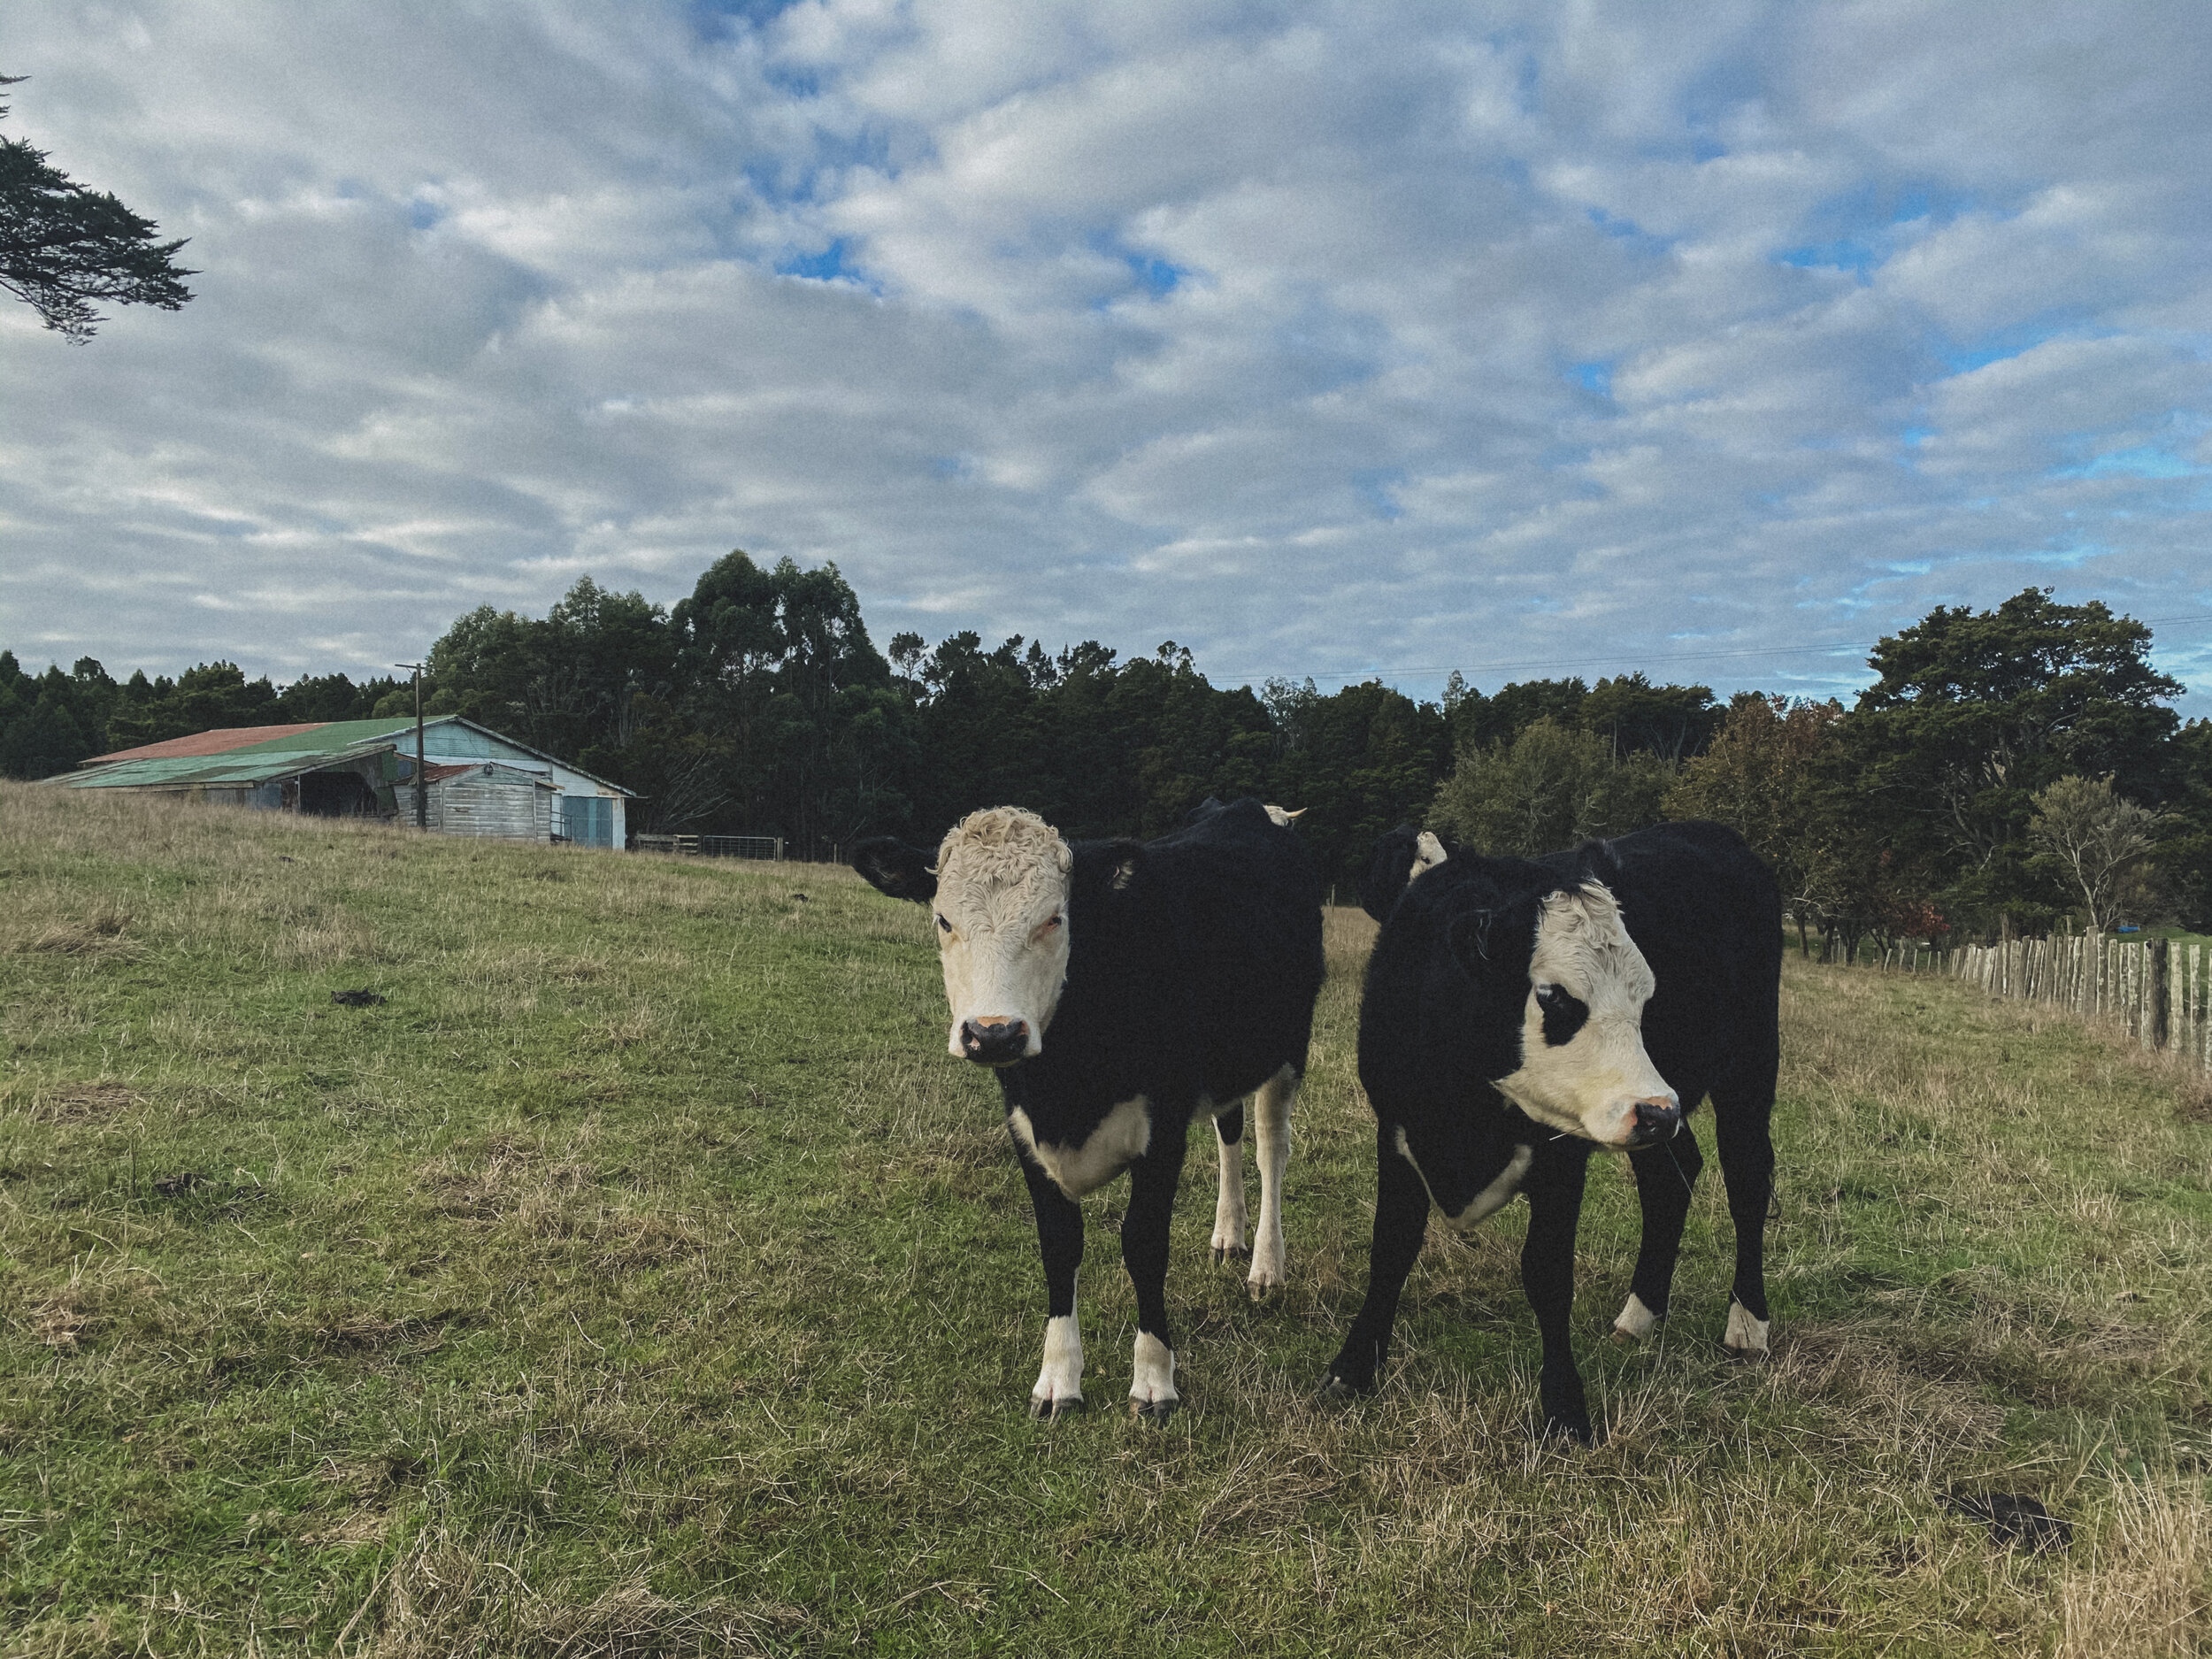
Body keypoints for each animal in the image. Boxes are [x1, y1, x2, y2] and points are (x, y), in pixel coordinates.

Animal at [852, 798, 1325, 1420]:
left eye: (1055, 918)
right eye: (943, 920)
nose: (993, 1033)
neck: (1066, 1085)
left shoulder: (1163, 1130)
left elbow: (1143, 1245)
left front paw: (1154, 1380)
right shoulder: (1026, 1131)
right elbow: (1059, 1246)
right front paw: (1058, 1379)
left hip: (1288, 1050)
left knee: (1272, 1147)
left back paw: (1266, 1266)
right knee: (1230, 1130)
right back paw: (1229, 1233)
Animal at [1322, 819, 1781, 1443]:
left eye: (1646, 996)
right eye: (1555, 995)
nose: (1658, 1111)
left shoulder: (1562, 1157)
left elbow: (1547, 1274)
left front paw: (1564, 1408)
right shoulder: (1396, 1133)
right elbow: (1390, 1251)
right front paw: (1352, 1369)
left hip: (1748, 1071)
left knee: (1748, 1183)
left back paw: (1748, 1324)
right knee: (1672, 1178)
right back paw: (1640, 1315)